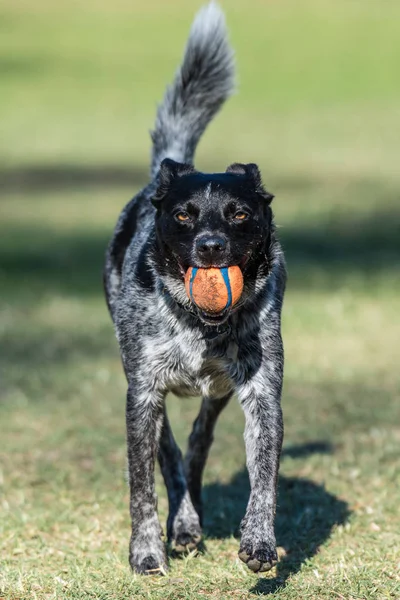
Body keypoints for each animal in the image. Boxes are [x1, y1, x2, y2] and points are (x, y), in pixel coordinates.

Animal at [103, 1, 284, 576]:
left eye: (239, 213)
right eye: (184, 215)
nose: (210, 247)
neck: (198, 327)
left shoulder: (261, 390)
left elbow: (263, 477)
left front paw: (258, 542)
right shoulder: (142, 393)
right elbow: (143, 483)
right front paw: (146, 552)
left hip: (220, 391)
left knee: (200, 439)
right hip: (141, 381)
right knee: (172, 454)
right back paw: (181, 524)